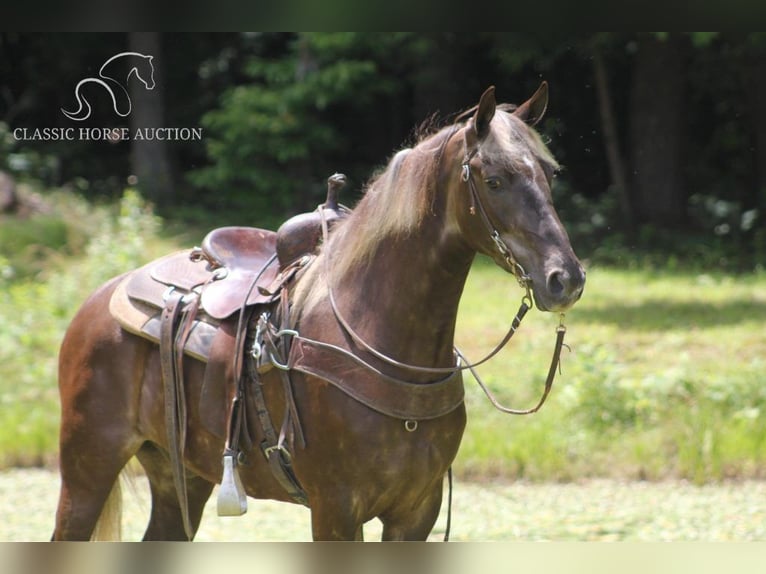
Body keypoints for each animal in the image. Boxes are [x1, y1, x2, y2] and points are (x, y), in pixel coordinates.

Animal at [54, 83, 588, 544]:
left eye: (550, 174)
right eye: (494, 181)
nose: (565, 279)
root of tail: (99, 300)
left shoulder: (418, 511)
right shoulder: (336, 508)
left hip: (178, 472)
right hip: (88, 466)